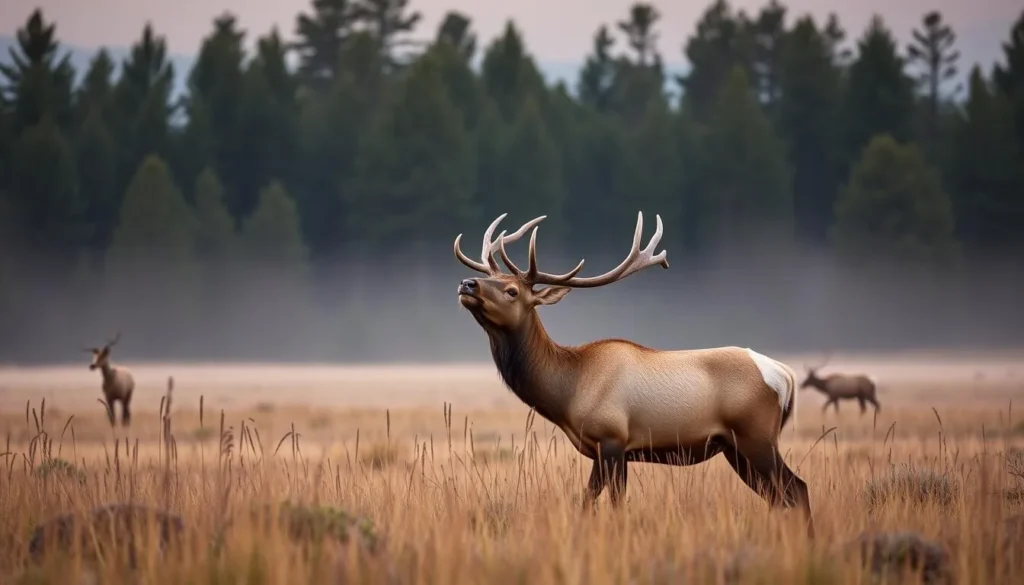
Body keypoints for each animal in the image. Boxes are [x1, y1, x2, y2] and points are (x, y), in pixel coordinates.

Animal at [454, 211, 815, 537]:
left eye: (512, 290)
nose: (467, 283)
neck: (569, 389)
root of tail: (785, 375)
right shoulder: (606, 450)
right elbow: (586, 503)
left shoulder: (612, 439)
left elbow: (613, 505)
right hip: (733, 447)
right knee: (779, 497)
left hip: (756, 436)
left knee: (797, 489)